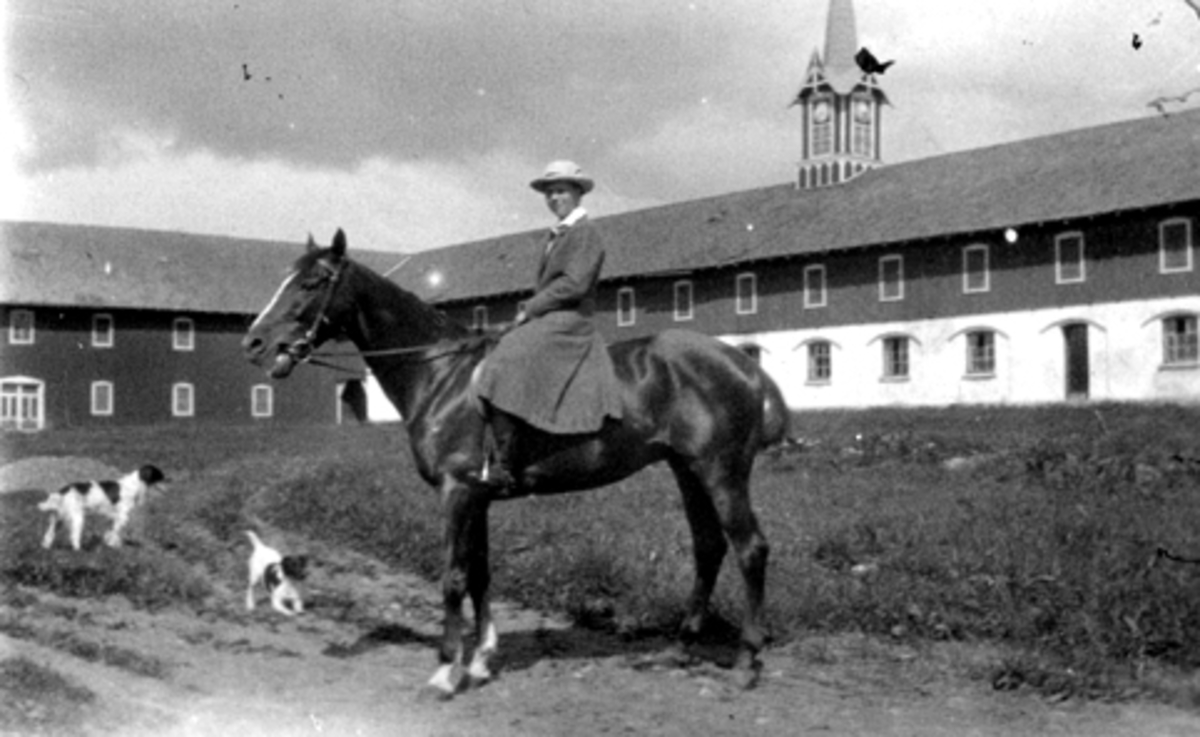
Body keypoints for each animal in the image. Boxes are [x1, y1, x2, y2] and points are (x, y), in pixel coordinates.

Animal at [37, 465, 166, 552]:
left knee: (48, 535)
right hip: (77, 519)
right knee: (74, 536)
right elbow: (115, 533)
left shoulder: (113, 518)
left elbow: (110, 532)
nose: (169, 480)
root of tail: (63, 491)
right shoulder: (122, 517)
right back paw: (79, 551)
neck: (134, 485)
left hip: (58, 519)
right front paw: (113, 546)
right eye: (160, 476)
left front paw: (110, 544)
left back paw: (45, 548)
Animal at [240, 229, 792, 700]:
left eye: (312, 282)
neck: (443, 376)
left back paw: (746, 660)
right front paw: (481, 660)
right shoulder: (479, 497)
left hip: (721, 473)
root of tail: (742, 362)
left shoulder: (457, 493)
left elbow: (454, 577)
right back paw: (682, 644)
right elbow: (481, 574)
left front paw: (447, 670)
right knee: (708, 547)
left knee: (750, 549)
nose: (254, 342)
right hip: (687, 472)